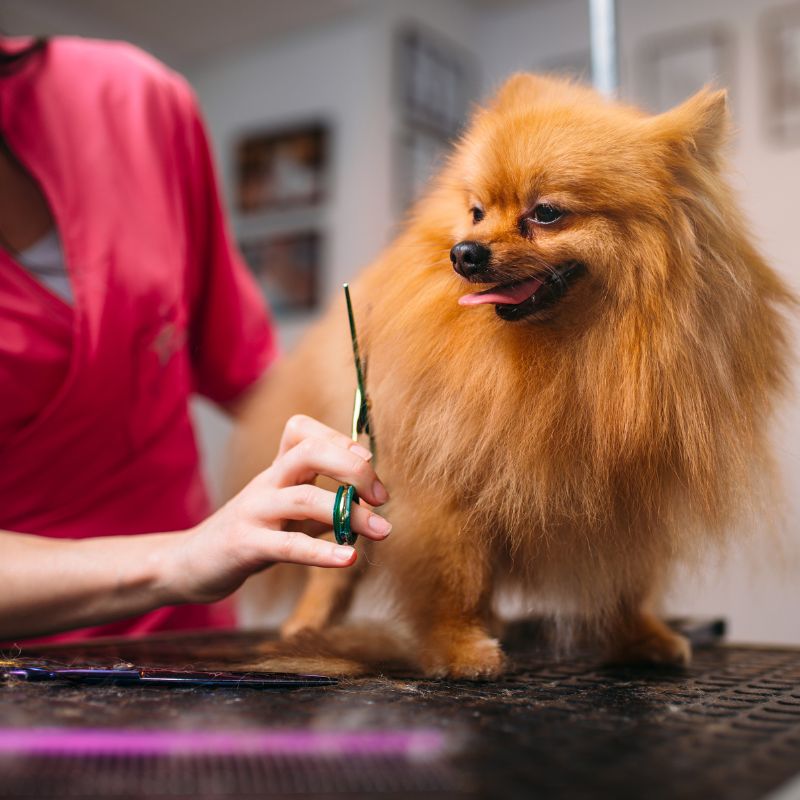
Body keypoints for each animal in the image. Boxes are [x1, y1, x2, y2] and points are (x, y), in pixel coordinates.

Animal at [228, 73, 796, 676]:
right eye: (477, 211)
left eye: (545, 213)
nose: (464, 252)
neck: (573, 352)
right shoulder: (447, 481)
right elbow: (455, 574)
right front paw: (458, 648)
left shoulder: (630, 492)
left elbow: (627, 579)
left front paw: (639, 635)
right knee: (338, 562)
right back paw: (308, 625)